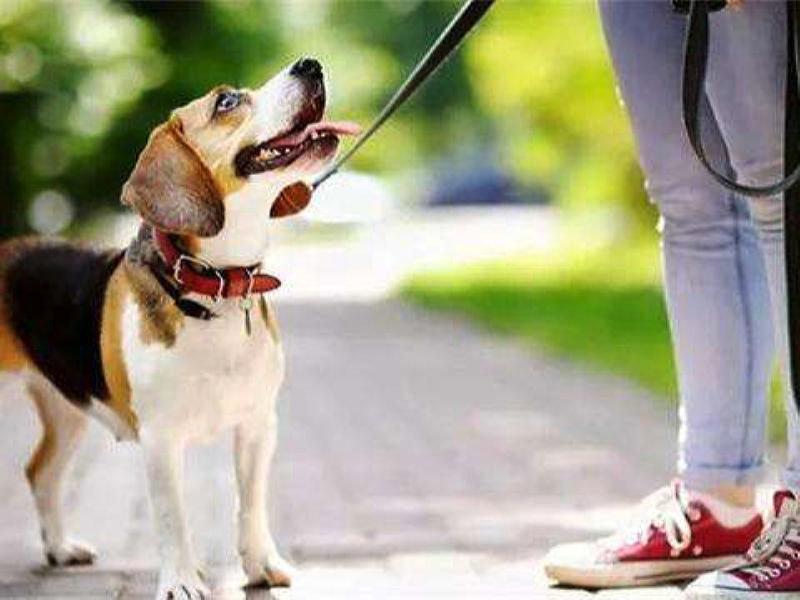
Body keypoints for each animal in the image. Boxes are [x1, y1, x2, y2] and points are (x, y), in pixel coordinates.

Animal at [0, 57, 358, 600]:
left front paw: (261, 565)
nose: (310, 64)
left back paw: (60, 548)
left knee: (40, 472)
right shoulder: (160, 438)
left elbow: (251, 504)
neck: (217, 286)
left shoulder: (258, 425)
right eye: (227, 101)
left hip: (67, 407)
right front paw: (182, 581)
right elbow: (173, 517)